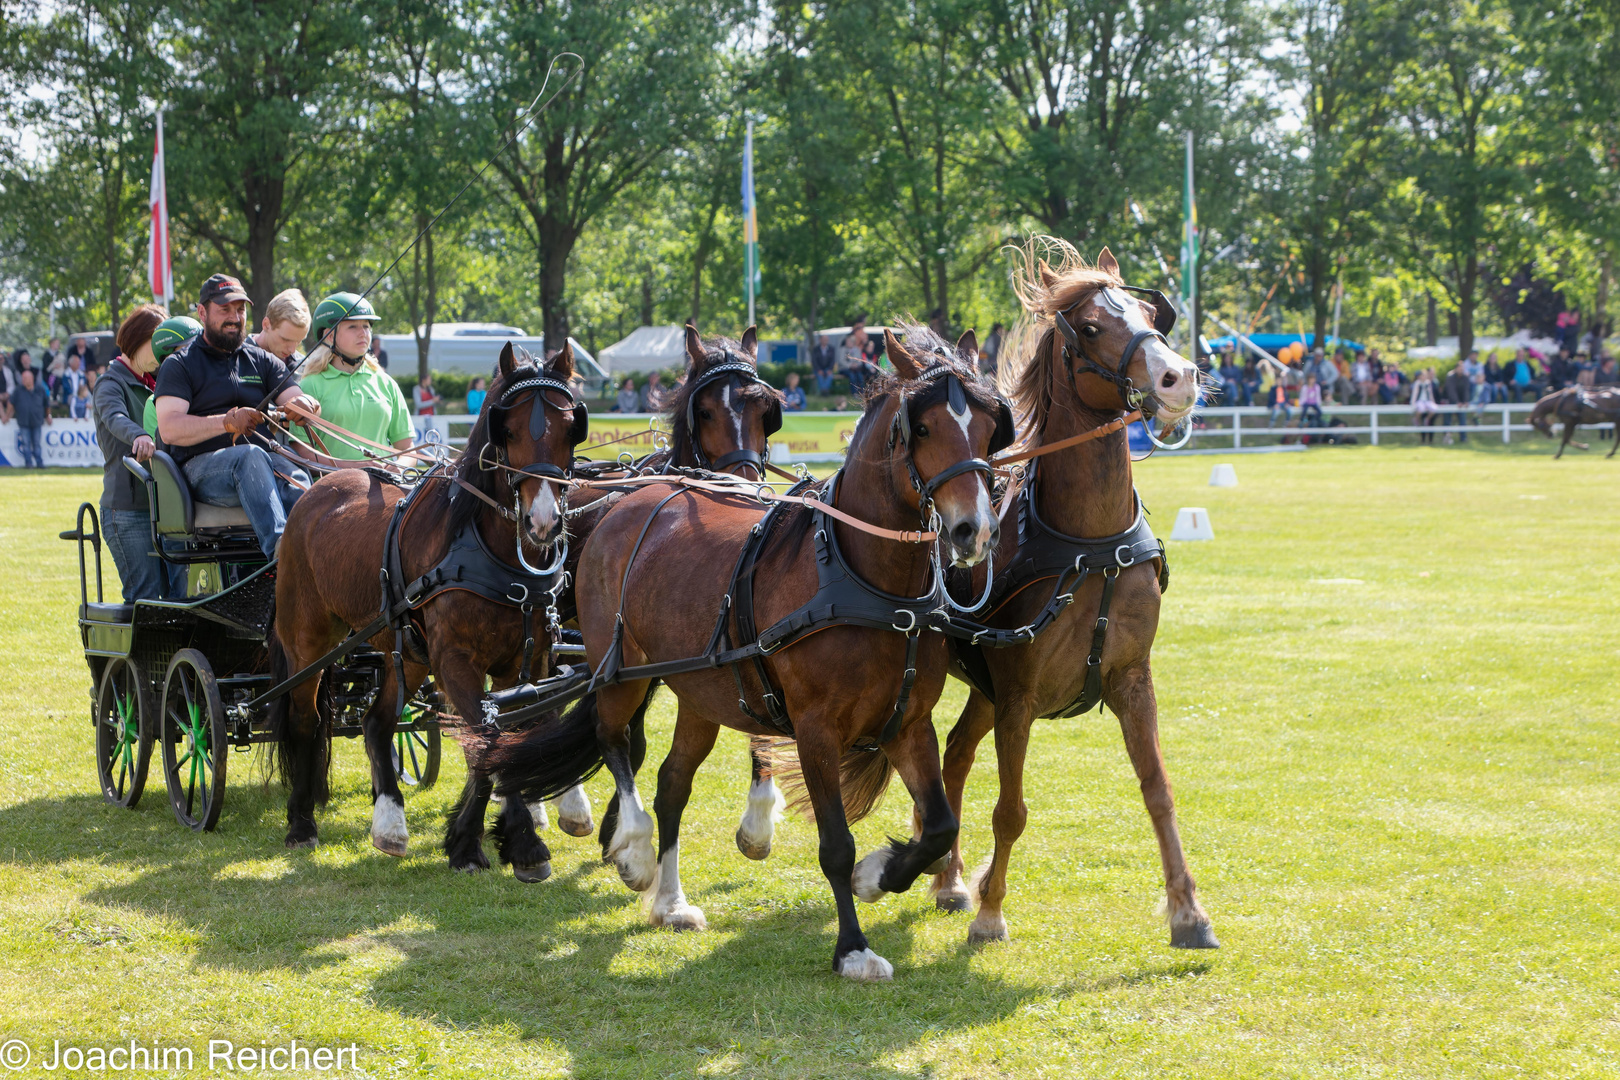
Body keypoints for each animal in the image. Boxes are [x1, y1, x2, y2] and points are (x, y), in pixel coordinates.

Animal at [273, 346, 589, 880]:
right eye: (508, 430)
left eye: (570, 427)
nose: (543, 522)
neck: (489, 549)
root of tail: (319, 485)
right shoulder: (456, 662)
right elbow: (487, 740)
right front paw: (483, 844)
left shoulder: (524, 663)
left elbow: (510, 739)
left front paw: (508, 838)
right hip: (306, 642)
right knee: (304, 720)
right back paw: (300, 823)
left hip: (409, 653)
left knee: (376, 722)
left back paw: (389, 823)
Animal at [486, 330, 1004, 977]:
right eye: (925, 427)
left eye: (991, 425)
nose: (973, 530)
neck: (863, 576)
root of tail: (627, 502)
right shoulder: (814, 728)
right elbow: (836, 844)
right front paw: (853, 947)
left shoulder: (909, 722)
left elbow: (938, 828)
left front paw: (878, 875)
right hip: (619, 670)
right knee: (614, 739)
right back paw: (631, 847)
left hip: (699, 692)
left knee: (671, 783)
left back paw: (671, 902)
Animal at [926, 241, 1218, 952]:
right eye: (1089, 327)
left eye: (1152, 316)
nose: (1180, 379)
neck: (1093, 547)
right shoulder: (1021, 698)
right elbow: (1010, 810)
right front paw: (991, 912)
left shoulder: (1133, 679)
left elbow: (1158, 790)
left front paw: (1188, 911)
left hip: (983, 688)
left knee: (956, 753)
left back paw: (949, 877)